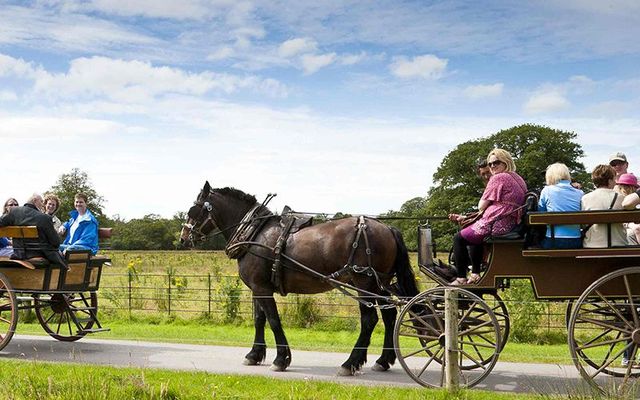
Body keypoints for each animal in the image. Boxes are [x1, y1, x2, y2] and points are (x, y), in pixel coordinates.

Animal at [180, 181, 420, 376]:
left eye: (194, 208)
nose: (183, 237)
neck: (254, 233)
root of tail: (388, 227)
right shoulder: (258, 287)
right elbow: (259, 319)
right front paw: (254, 355)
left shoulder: (262, 288)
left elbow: (274, 320)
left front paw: (281, 359)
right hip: (380, 284)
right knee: (389, 315)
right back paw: (383, 360)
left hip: (364, 283)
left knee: (369, 320)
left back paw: (350, 363)